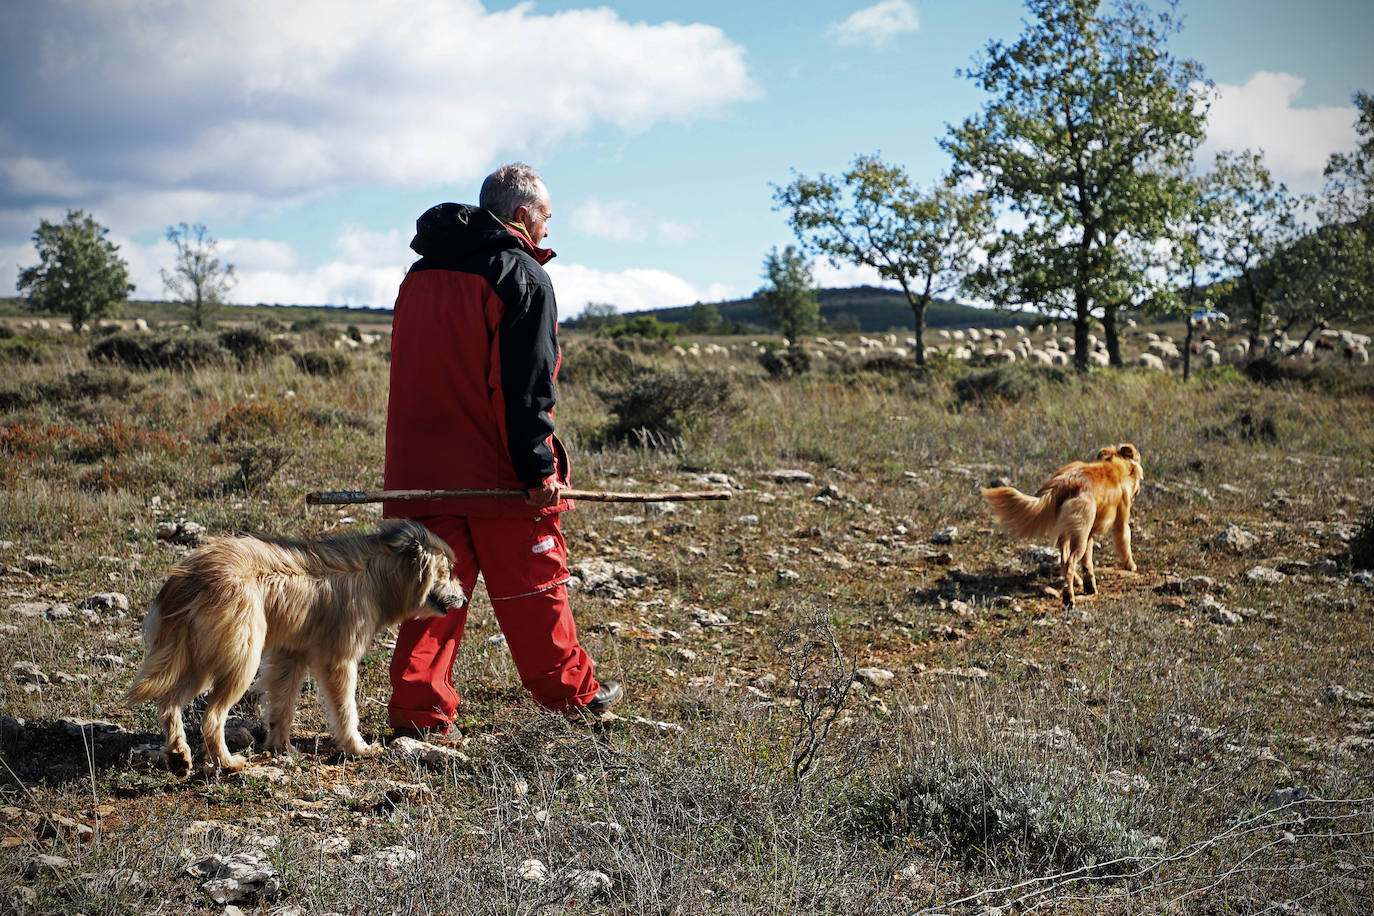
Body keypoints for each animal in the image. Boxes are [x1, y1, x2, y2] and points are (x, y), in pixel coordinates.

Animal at [983, 444, 1143, 609]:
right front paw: (1131, 565)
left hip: (1071, 533)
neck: (1116, 466)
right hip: (1079, 537)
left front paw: (1090, 585)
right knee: (1070, 562)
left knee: (1064, 560)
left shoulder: (1089, 534)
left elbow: (1087, 563)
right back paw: (1069, 597)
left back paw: (1076, 582)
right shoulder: (1121, 520)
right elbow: (1125, 542)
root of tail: (1065, 482)